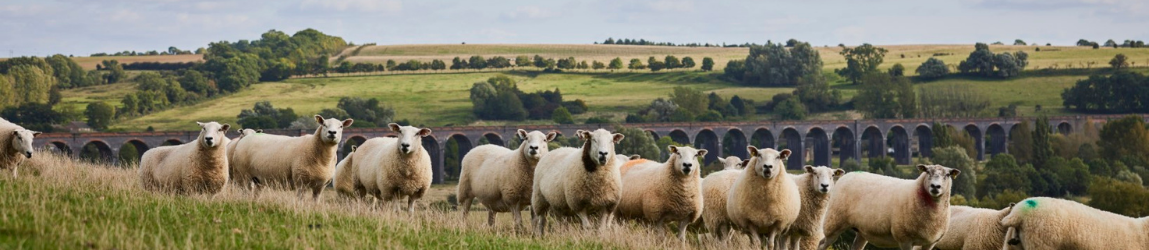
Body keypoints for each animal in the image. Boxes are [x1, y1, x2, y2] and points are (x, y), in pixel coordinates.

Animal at [818, 163, 960, 249]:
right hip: (834, 222)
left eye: (947, 175)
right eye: (928, 172)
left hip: (861, 230)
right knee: (821, 244)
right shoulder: (905, 239)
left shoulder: (930, 243)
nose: (935, 186)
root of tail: (848, 174)